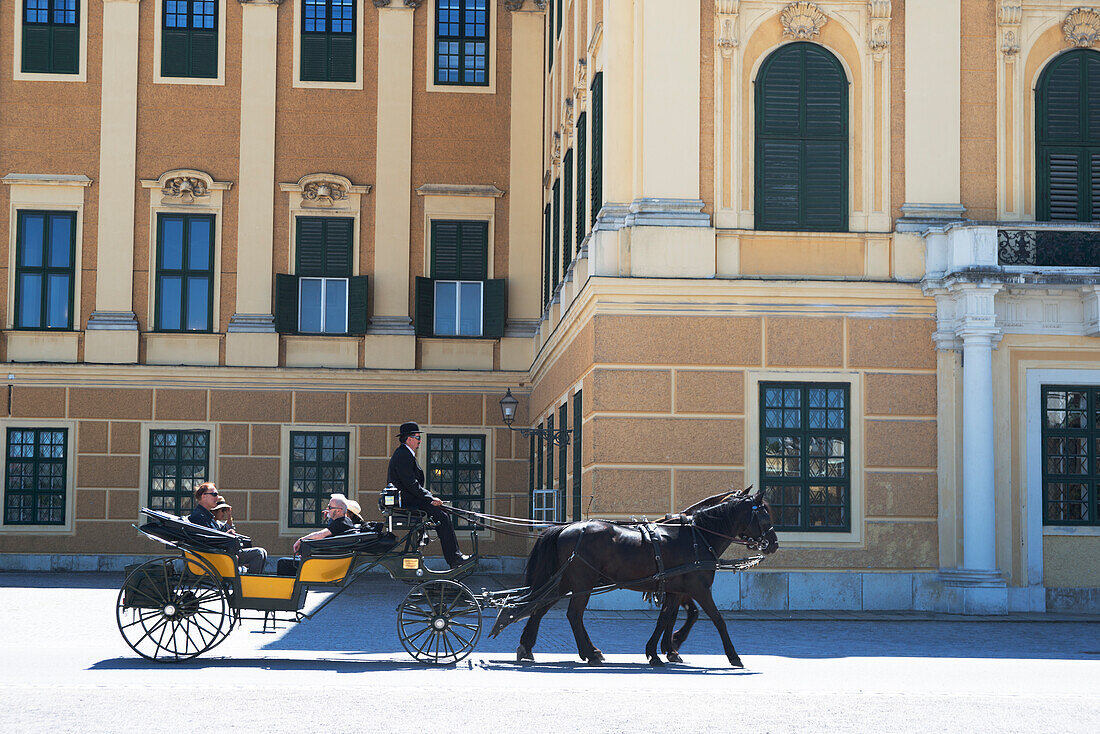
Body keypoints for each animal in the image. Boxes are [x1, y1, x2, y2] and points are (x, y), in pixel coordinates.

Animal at [510, 490, 778, 669]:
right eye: (765, 517)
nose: (773, 544)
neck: (697, 536)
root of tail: (566, 527)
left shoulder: (675, 590)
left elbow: (665, 619)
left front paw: (658, 651)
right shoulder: (699, 588)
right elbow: (717, 619)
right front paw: (734, 656)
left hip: (566, 582)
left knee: (540, 608)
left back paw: (530, 646)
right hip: (582, 583)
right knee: (573, 614)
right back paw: (590, 652)